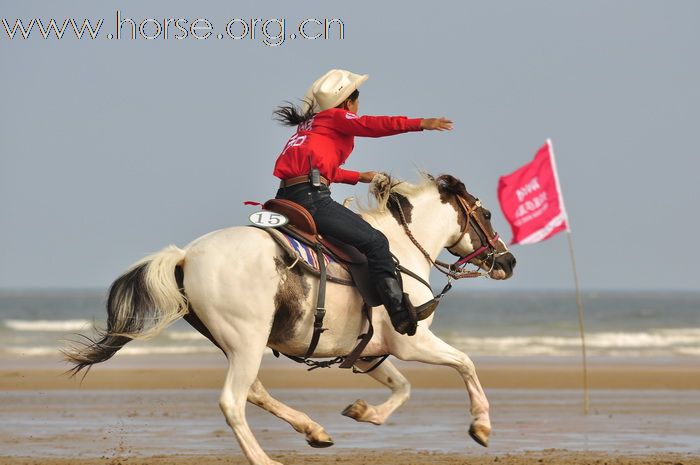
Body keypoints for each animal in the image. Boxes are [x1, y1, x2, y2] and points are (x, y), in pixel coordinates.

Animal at [64, 172, 516, 462]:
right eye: (487, 215)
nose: (508, 261)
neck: (397, 253)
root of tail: (186, 255)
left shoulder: (370, 353)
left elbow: (402, 387)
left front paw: (364, 412)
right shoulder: (412, 341)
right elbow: (465, 363)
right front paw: (481, 426)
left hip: (238, 344)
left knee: (254, 391)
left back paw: (314, 430)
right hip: (247, 341)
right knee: (234, 401)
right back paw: (267, 459)